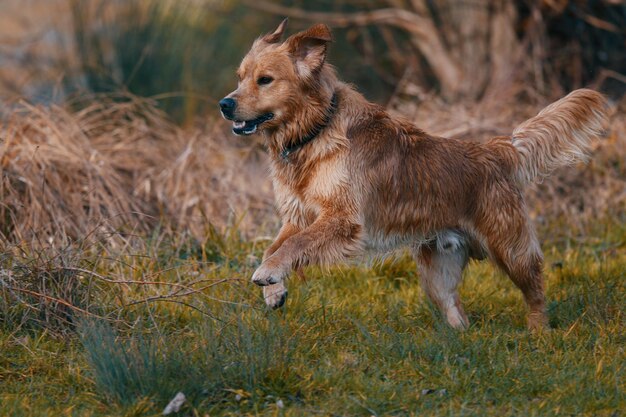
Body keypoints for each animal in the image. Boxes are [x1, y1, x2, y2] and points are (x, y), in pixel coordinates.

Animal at [218, 19, 604, 330]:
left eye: (265, 80)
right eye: (239, 78)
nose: (224, 103)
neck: (313, 131)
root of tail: (497, 149)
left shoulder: (342, 219)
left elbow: (295, 245)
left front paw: (269, 275)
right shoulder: (297, 215)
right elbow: (275, 246)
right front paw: (274, 289)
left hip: (511, 248)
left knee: (535, 290)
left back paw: (539, 333)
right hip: (437, 269)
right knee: (455, 308)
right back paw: (457, 340)